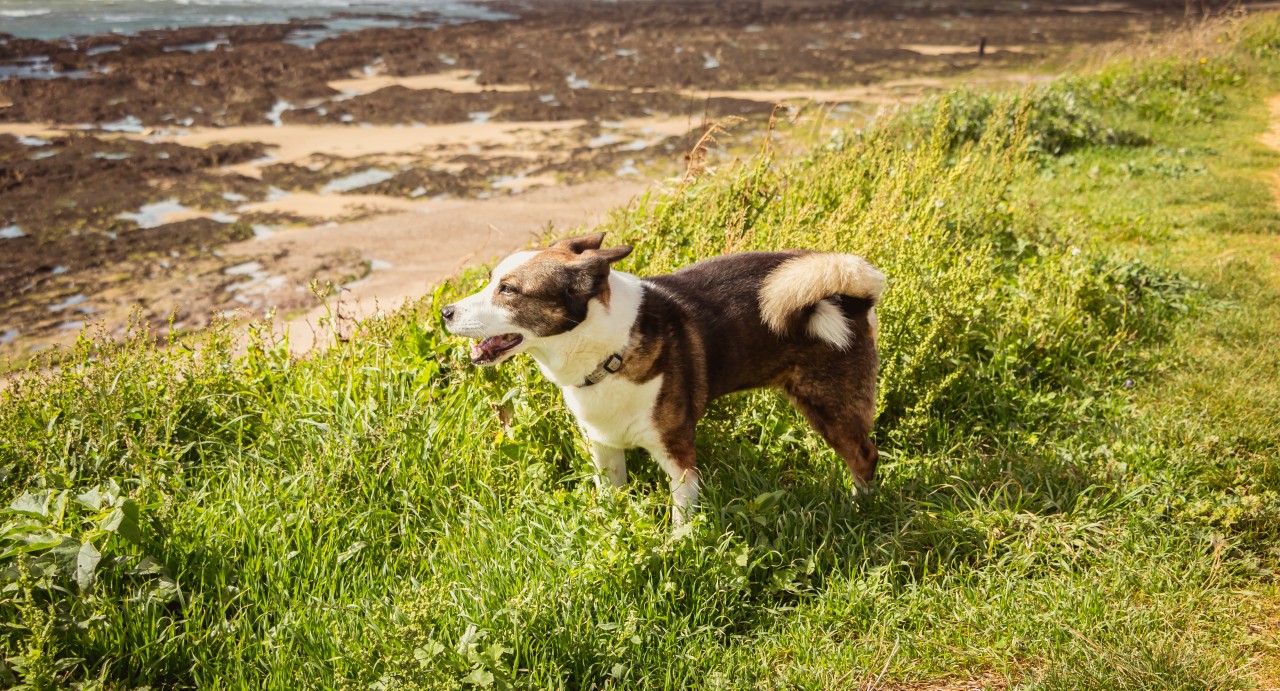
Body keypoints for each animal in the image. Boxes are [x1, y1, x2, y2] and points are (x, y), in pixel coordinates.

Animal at [445, 232, 885, 524]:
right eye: (491, 280)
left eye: (508, 290)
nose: (446, 312)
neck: (610, 347)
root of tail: (852, 292)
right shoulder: (604, 447)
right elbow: (612, 496)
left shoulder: (678, 455)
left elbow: (681, 519)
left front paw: (678, 548)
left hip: (829, 405)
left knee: (864, 455)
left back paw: (859, 508)